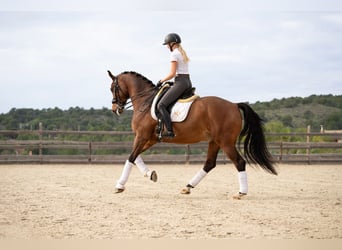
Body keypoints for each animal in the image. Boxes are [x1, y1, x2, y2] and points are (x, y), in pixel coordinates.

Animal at [108, 70, 276, 199]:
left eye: (112, 88)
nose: (115, 109)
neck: (146, 101)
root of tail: (234, 105)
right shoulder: (150, 139)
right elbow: (135, 157)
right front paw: (151, 174)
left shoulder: (142, 136)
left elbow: (131, 157)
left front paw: (119, 186)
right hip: (215, 141)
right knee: (209, 164)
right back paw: (187, 187)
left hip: (226, 142)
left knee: (239, 162)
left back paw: (241, 193)